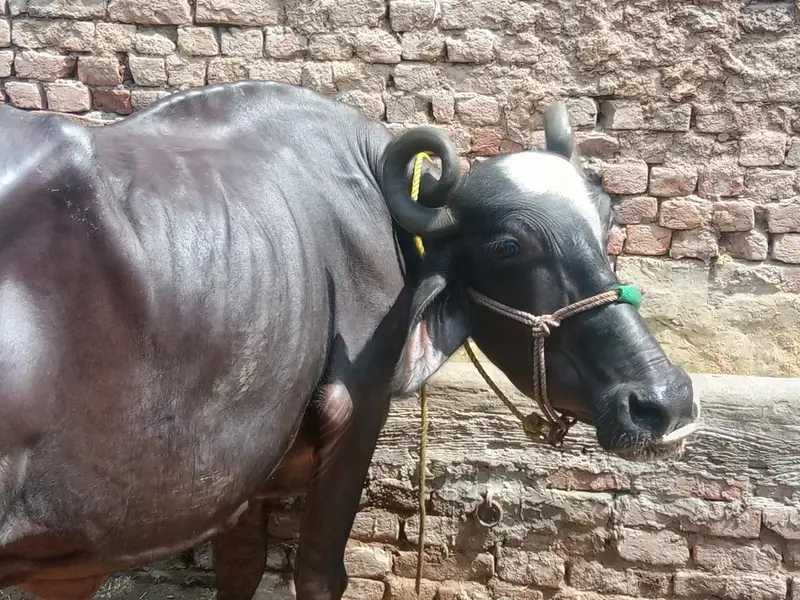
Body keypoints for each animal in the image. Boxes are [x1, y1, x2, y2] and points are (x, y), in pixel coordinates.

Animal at [0, 80, 700, 600]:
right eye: (507, 245)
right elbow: (317, 573)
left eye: (606, 222)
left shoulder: (243, 466)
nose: (663, 401)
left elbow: (240, 566)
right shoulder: (356, 413)